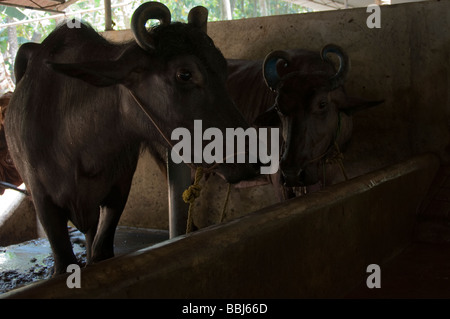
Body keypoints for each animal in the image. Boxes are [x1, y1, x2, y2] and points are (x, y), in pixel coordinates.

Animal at [5, 1, 256, 276]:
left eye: (223, 68)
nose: (252, 158)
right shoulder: (43, 202)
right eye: (185, 74)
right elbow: (63, 261)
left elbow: (101, 252)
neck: (77, 143)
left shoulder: (119, 191)